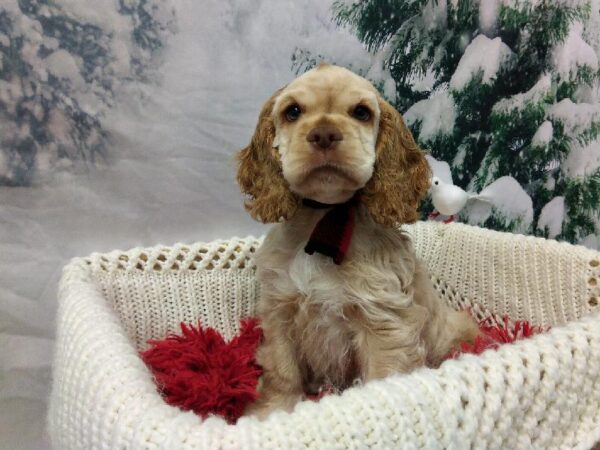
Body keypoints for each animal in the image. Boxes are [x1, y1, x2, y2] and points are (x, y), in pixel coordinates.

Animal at [236, 63, 478, 418]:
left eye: (361, 112)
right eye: (292, 111)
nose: (324, 134)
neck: (325, 217)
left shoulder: (383, 321)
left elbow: (383, 378)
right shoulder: (280, 311)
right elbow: (282, 373)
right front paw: (271, 413)